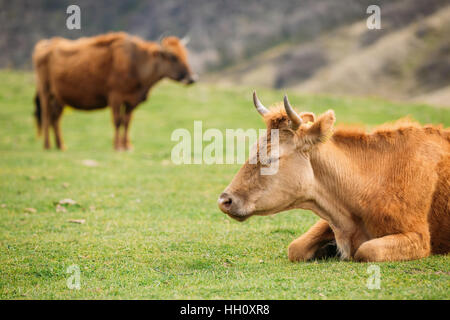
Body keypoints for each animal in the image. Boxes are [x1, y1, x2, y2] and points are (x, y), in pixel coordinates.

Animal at [31, 32, 197, 150]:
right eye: (173, 56)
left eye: (185, 54)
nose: (192, 78)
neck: (136, 62)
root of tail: (45, 44)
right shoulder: (115, 98)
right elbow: (118, 121)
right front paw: (117, 146)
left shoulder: (131, 102)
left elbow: (127, 122)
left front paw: (127, 146)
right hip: (45, 93)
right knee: (46, 117)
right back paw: (47, 146)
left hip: (59, 99)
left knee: (55, 119)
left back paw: (61, 146)